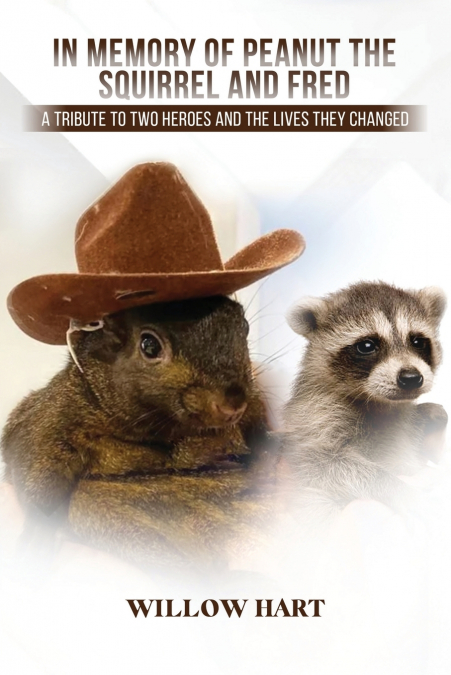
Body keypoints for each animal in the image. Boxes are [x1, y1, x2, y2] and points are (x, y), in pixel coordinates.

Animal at [2, 295, 275, 570]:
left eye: (245, 327)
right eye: (149, 346)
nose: (233, 404)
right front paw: (35, 542)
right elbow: (37, 475)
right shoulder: (52, 421)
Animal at [282, 281, 448, 520]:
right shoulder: (315, 416)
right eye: (367, 346)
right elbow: (321, 462)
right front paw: (396, 488)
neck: (379, 403)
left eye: (417, 341)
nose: (411, 378)